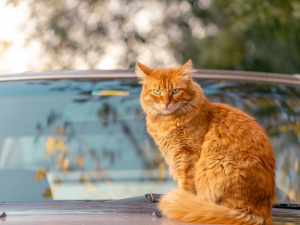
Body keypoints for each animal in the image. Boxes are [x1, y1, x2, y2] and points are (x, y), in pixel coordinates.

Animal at [136, 59, 276, 225]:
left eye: (175, 91)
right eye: (157, 92)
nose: (166, 104)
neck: (167, 122)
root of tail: (263, 214)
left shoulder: (187, 156)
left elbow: (186, 186)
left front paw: (182, 200)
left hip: (218, 163)